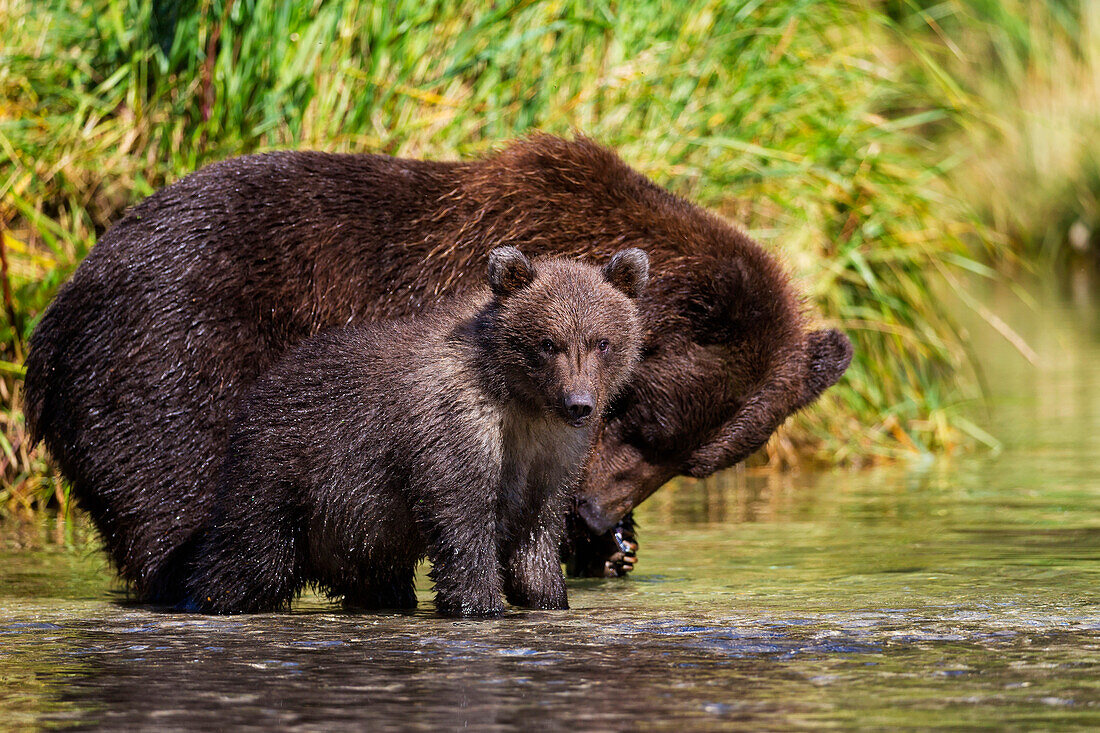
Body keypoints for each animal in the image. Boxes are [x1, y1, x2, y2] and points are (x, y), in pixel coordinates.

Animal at [180, 248, 642, 611]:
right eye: (548, 343)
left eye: (602, 341)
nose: (579, 403)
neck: (521, 402)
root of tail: (260, 384)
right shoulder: (454, 427)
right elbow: (462, 519)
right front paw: (479, 604)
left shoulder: (552, 455)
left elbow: (538, 533)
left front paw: (547, 596)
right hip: (282, 469)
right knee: (249, 557)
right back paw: (204, 598)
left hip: (358, 531)